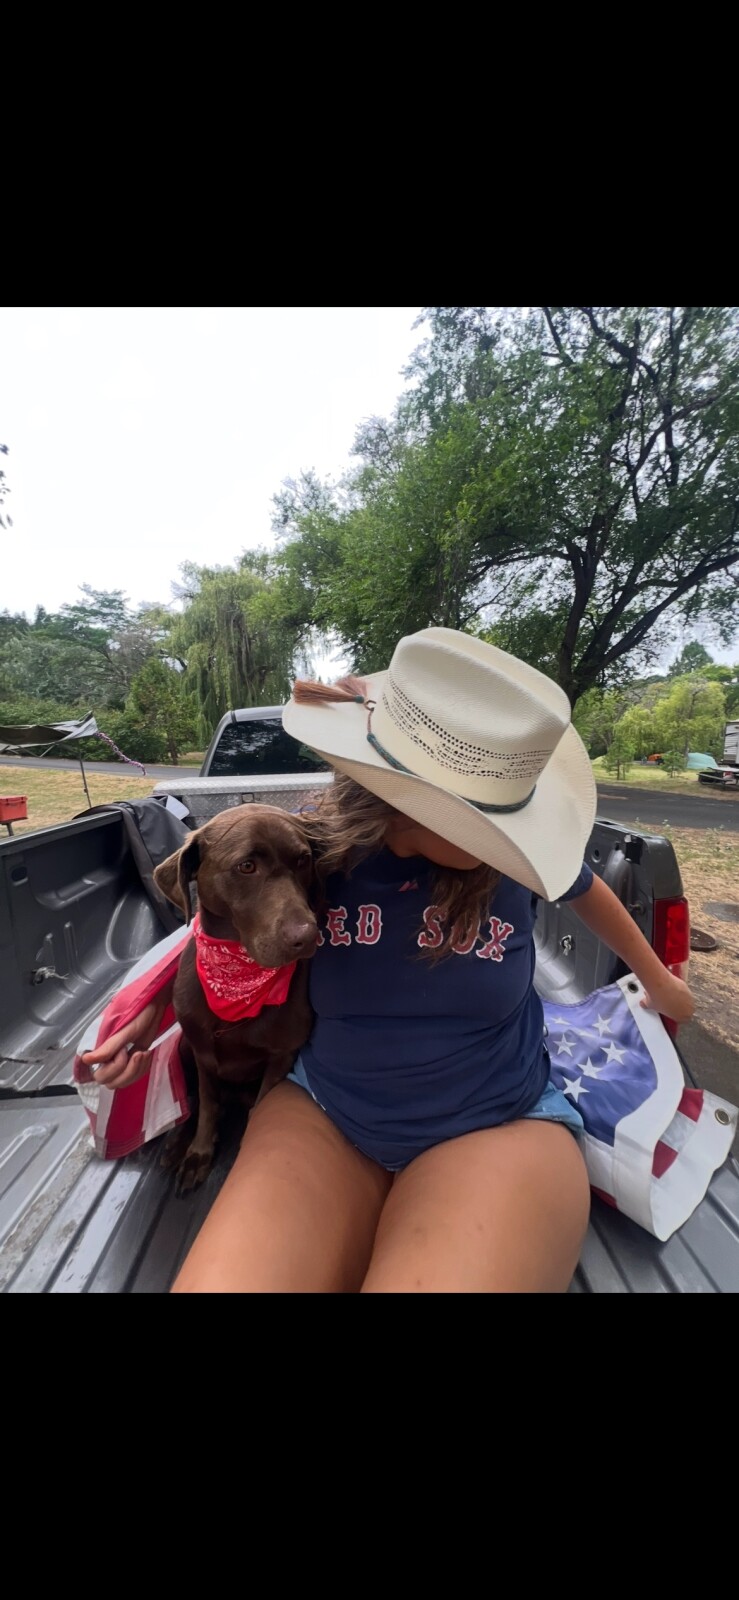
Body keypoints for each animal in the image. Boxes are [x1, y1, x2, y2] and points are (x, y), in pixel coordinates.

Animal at [153, 804, 318, 1193]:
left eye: (303, 860)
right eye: (246, 866)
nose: (307, 936)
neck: (237, 977)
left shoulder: (282, 1056)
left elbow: (259, 1109)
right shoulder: (201, 1052)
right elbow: (207, 1105)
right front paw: (198, 1152)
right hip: (183, 1048)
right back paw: (177, 1142)